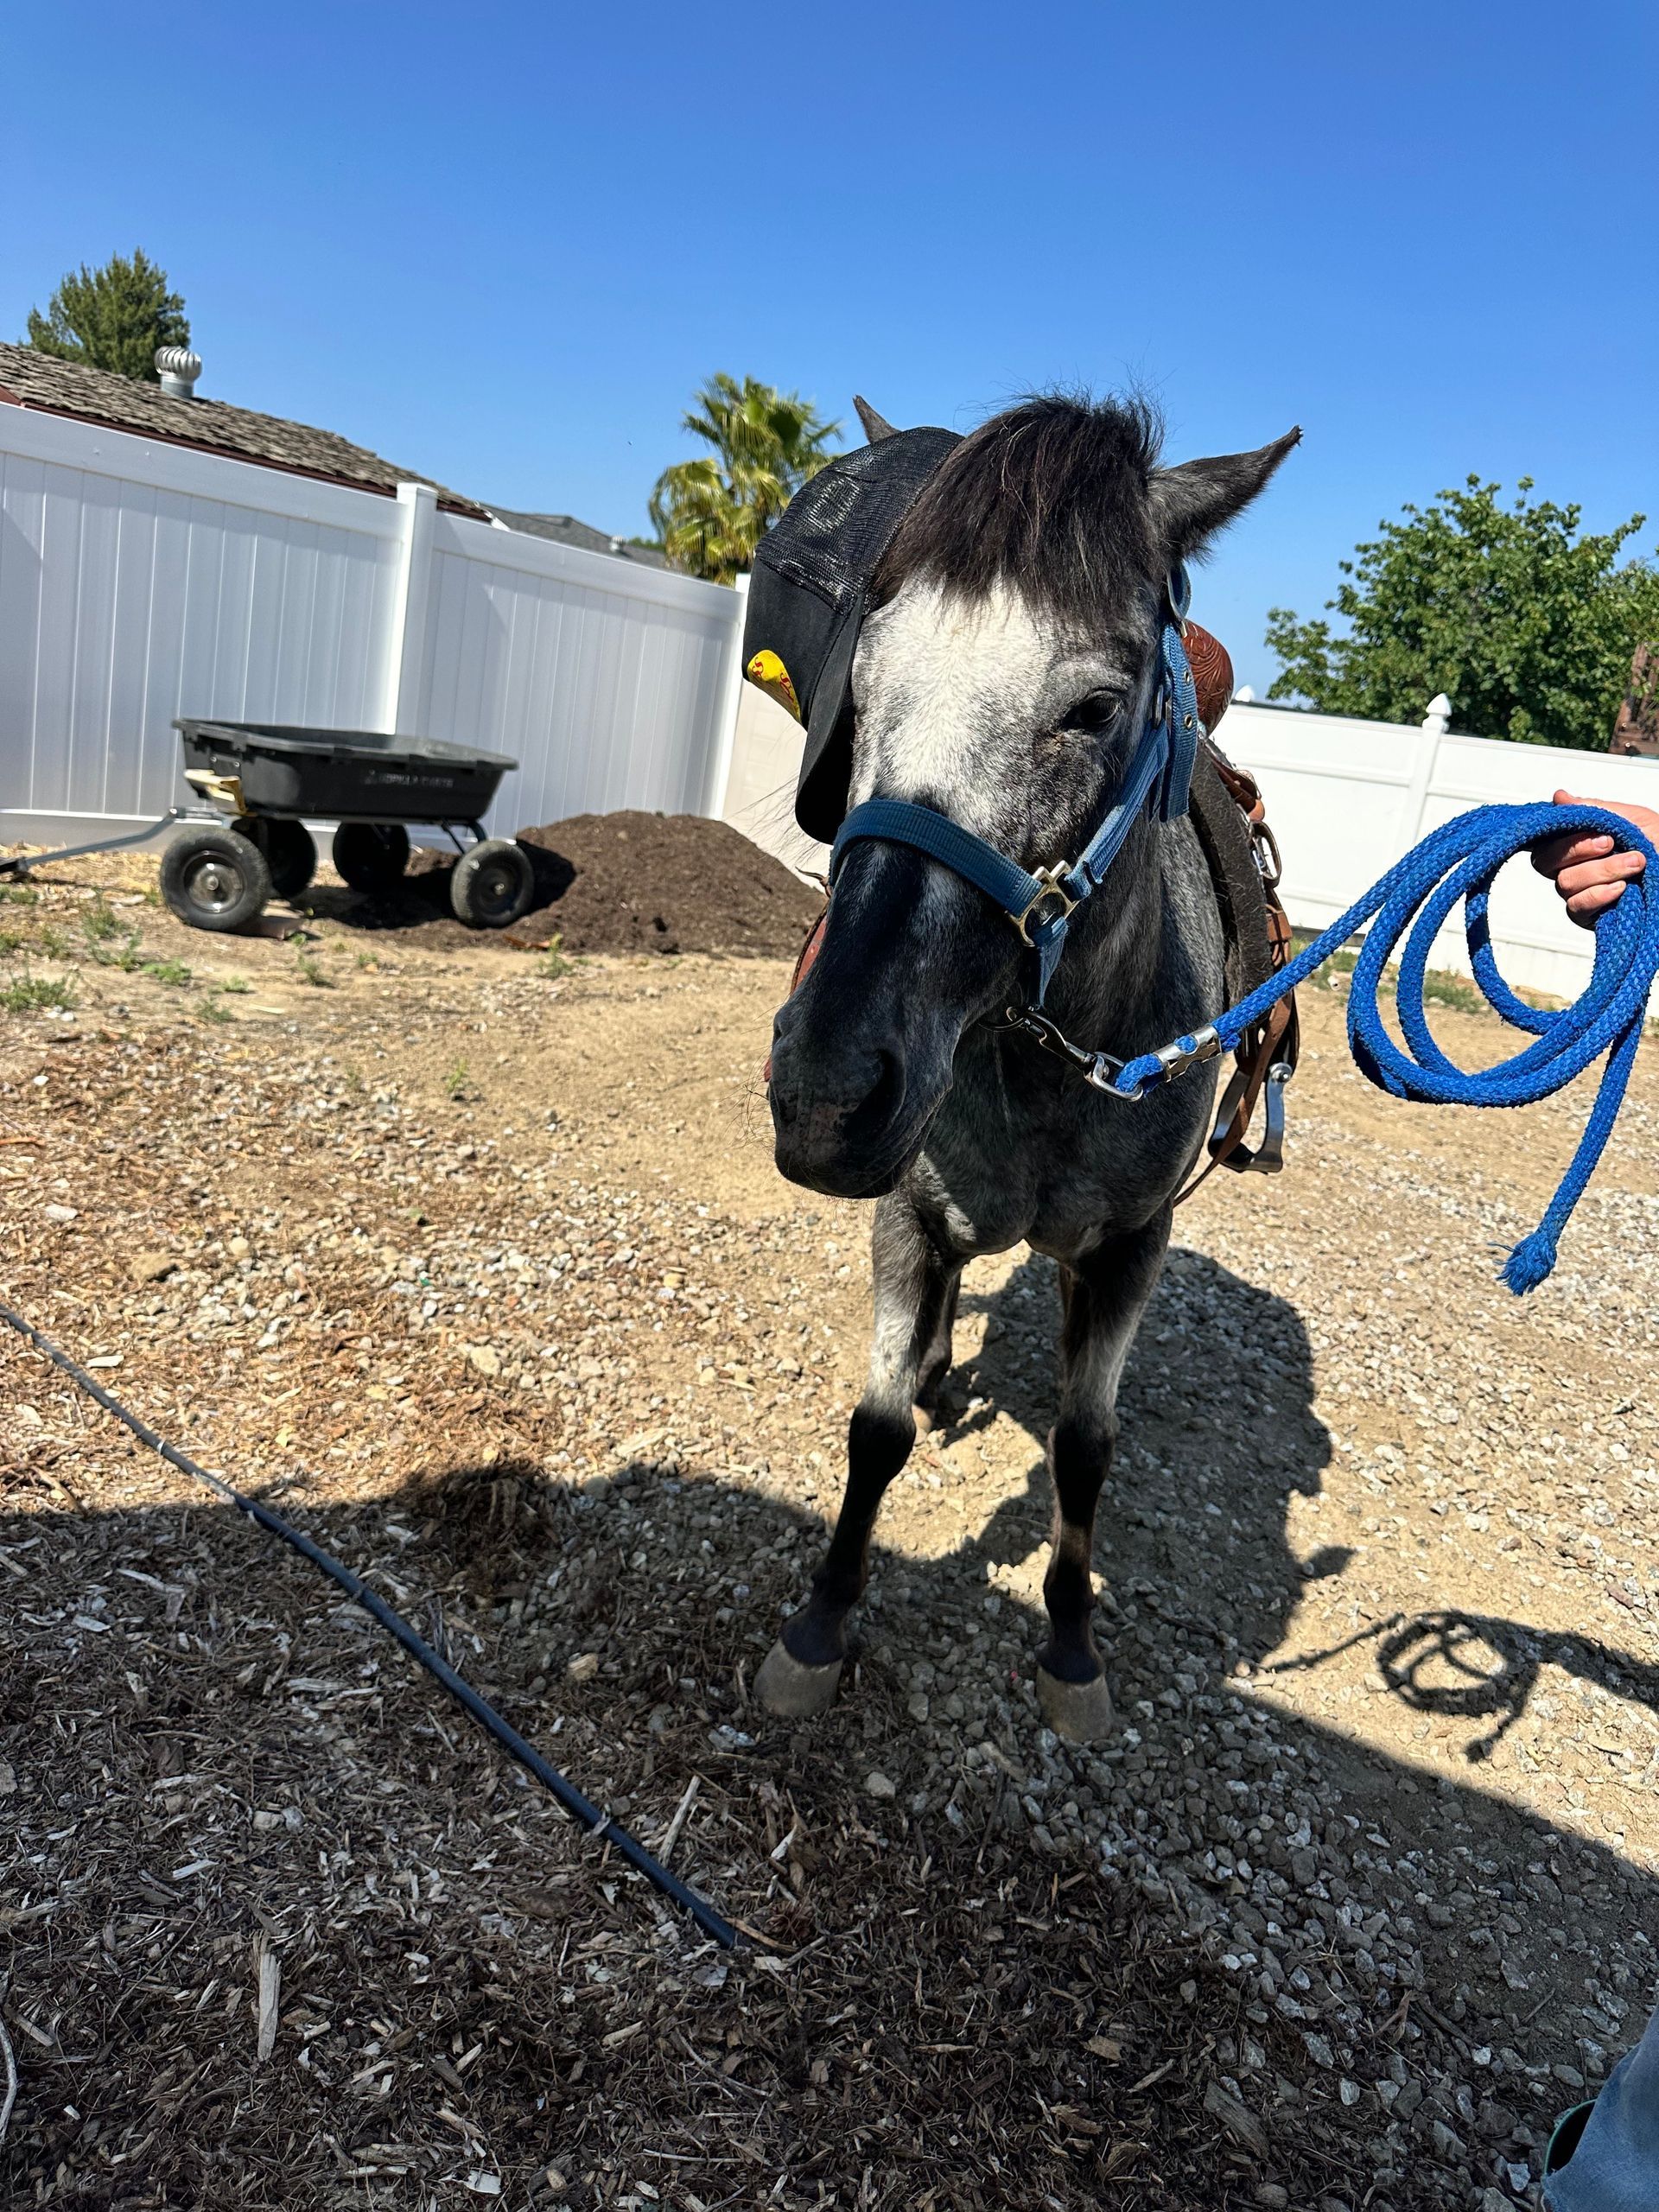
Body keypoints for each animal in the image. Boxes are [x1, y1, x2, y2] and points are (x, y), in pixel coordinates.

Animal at [759, 394, 1299, 1742]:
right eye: (863, 687)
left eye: (1095, 709)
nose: (826, 1088)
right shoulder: (905, 1211)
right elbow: (876, 1427)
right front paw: (821, 1621)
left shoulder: (1131, 1247)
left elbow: (1084, 1446)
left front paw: (1069, 1640)